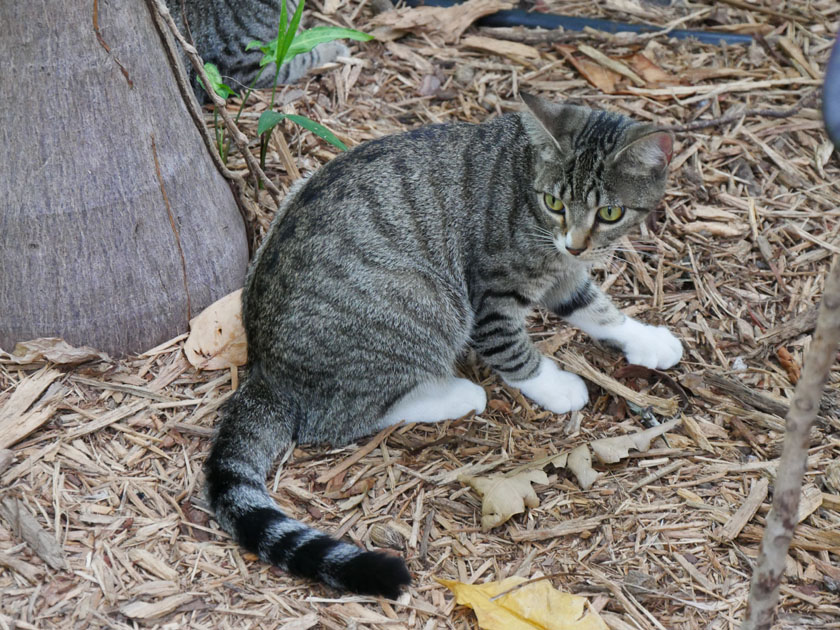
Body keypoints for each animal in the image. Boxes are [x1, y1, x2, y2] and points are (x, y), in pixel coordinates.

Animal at [203, 95, 684, 604]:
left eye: (610, 213)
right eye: (555, 203)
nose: (575, 243)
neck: (526, 186)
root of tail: (265, 372)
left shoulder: (564, 272)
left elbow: (595, 308)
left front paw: (646, 339)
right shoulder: (493, 290)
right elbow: (513, 350)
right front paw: (554, 386)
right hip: (425, 304)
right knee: (343, 417)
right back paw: (455, 394)